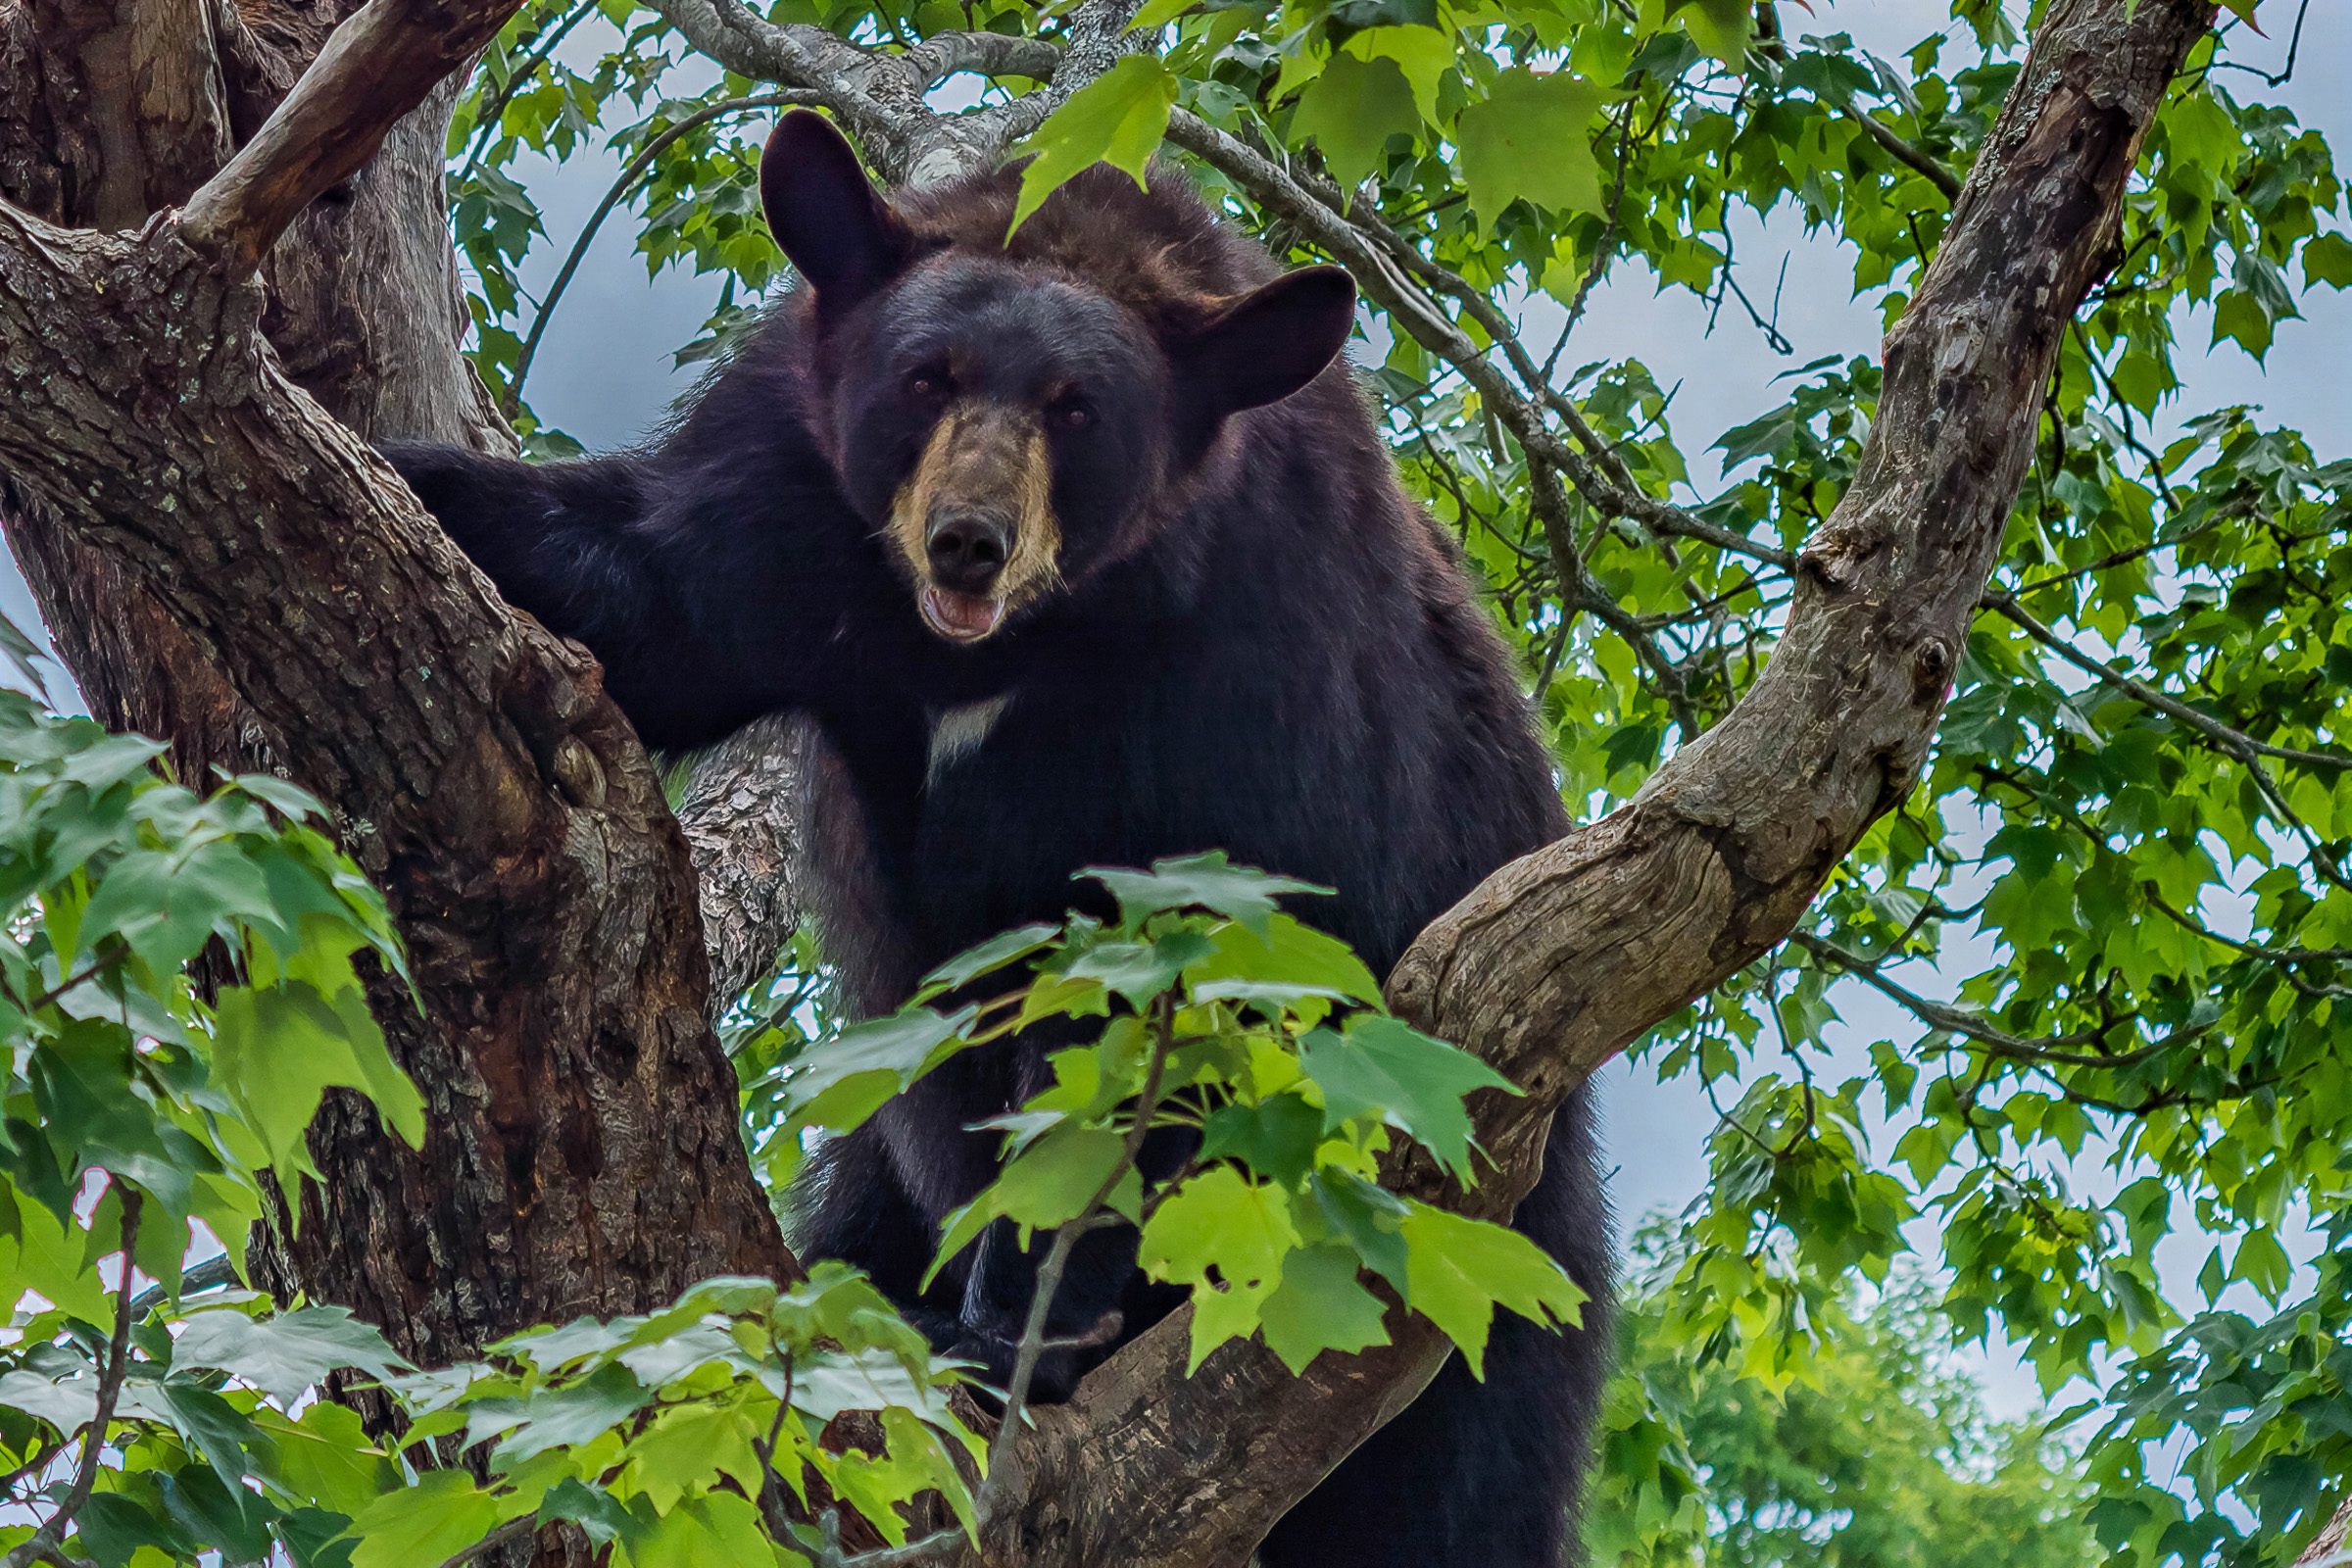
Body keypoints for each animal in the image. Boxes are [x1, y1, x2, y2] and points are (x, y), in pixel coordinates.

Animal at [382, 108, 1609, 1566]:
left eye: (1078, 409)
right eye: (926, 377)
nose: (968, 541)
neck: (1006, 649)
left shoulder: (1254, 660)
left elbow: (1182, 992)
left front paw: (1028, 1331)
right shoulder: (786, 501)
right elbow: (648, 592)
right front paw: (398, 469)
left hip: (1498, 1249)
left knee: (1466, 1474)